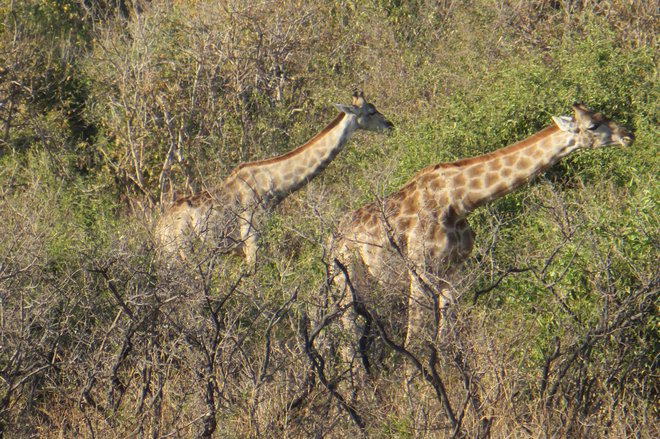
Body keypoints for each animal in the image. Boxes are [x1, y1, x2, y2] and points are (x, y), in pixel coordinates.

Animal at [157, 91, 392, 266]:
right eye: (371, 111)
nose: (390, 125)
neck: (273, 186)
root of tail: (159, 227)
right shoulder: (251, 236)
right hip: (179, 253)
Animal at [330, 103, 636, 372]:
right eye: (592, 125)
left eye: (603, 114)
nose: (628, 134)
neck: (459, 200)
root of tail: (332, 237)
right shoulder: (421, 272)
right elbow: (415, 342)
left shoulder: (454, 273)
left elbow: (446, 341)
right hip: (345, 276)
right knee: (350, 335)